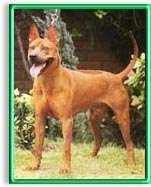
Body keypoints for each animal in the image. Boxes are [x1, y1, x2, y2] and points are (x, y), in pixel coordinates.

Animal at [26, 23, 138, 174]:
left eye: (45, 48)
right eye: (32, 47)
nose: (32, 56)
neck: (47, 82)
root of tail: (116, 76)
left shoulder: (67, 121)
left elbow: (66, 148)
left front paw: (65, 168)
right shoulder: (39, 119)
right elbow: (37, 147)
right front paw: (34, 165)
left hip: (122, 117)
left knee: (129, 143)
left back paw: (131, 164)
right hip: (94, 118)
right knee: (99, 138)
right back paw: (91, 157)